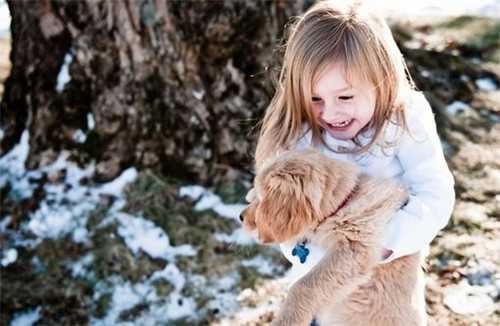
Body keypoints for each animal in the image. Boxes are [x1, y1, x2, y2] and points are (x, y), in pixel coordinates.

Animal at [239, 149, 426, 324]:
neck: (344, 203)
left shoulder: (354, 248)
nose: (240, 217)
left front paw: (288, 319)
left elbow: (304, 285)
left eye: (261, 200)